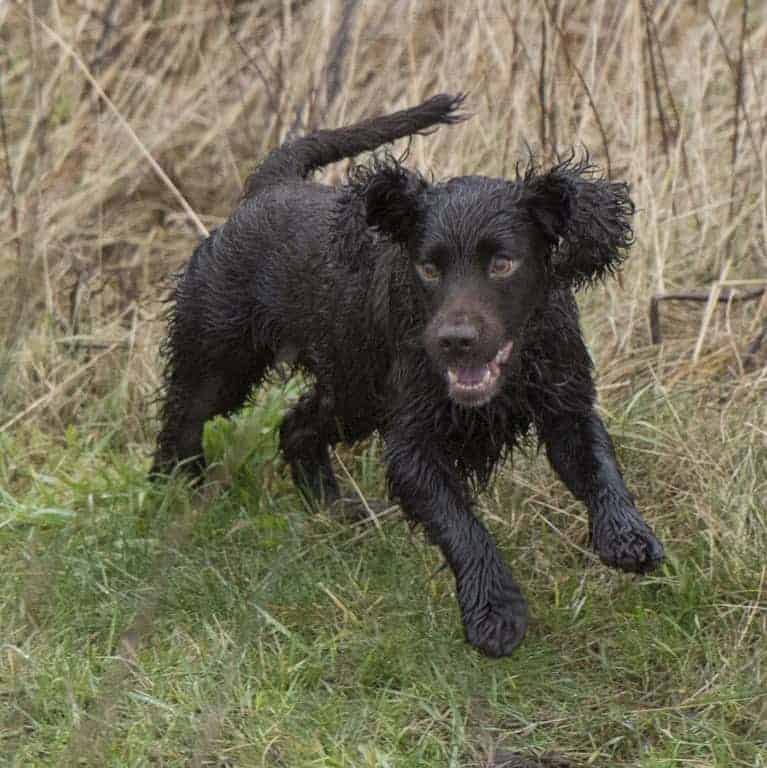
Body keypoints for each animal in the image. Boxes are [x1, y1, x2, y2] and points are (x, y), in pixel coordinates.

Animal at [153, 96, 664, 656]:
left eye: (503, 264)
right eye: (429, 268)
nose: (455, 340)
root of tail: (269, 187)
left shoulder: (565, 403)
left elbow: (598, 467)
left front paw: (627, 535)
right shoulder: (414, 443)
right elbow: (461, 525)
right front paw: (494, 612)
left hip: (355, 391)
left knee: (296, 426)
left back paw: (333, 508)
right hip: (225, 357)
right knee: (183, 412)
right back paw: (175, 487)